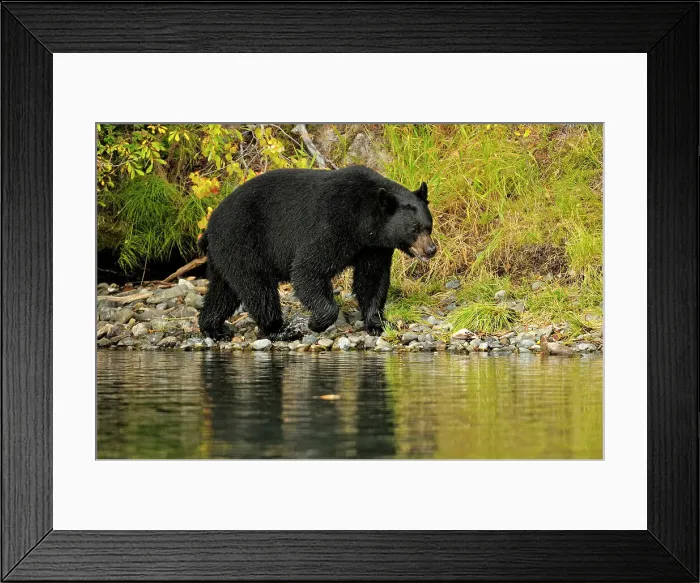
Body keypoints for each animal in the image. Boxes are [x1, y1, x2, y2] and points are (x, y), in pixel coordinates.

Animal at [197, 165, 436, 341]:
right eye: (414, 229)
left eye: (428, 226)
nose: (431, 249)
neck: (363, 220)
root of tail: (210, 225)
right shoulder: (334, 224)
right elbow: (308, 268)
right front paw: (316, 322)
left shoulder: (373, 247)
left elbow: (372, 279)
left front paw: (377, 323)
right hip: (243, 240)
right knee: (257, 287)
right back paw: (280, 329)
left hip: (225, 253)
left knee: (223, 290)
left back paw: (213, 328)